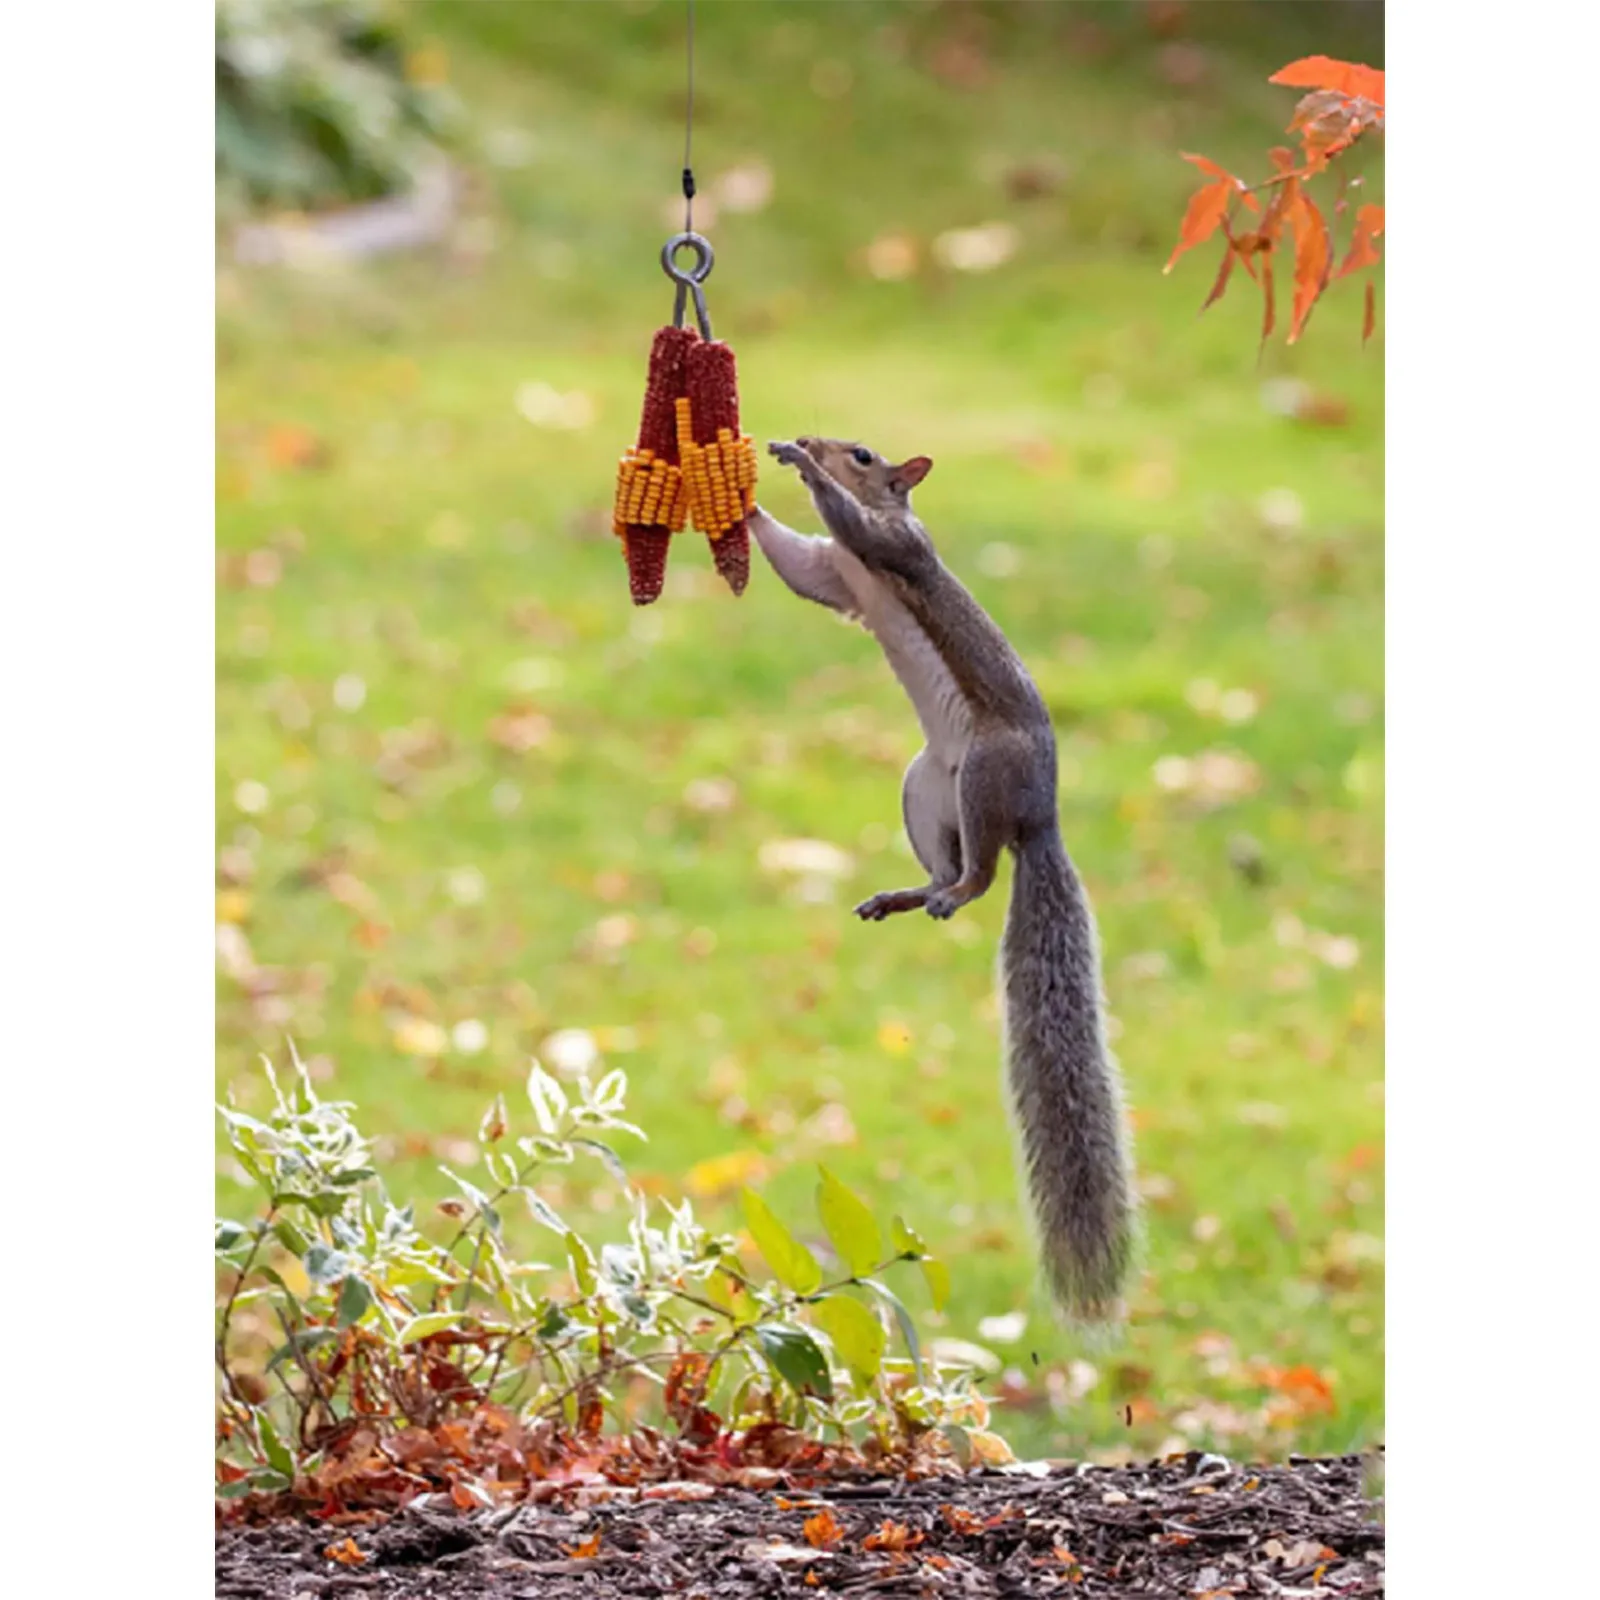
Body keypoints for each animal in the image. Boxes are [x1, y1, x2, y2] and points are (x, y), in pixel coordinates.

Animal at [750, 437, 1137, 1328]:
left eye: (864, 455)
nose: (820, 445)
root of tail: (1040, 818)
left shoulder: (898, 550)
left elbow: (859, 529)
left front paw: (803, 469)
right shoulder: (832, 574)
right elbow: (795, 562)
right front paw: (746, 489)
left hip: (985, 776)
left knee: (985, 876)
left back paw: (957, 893)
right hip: (924, 792)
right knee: (953, 866)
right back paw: (906, 895)